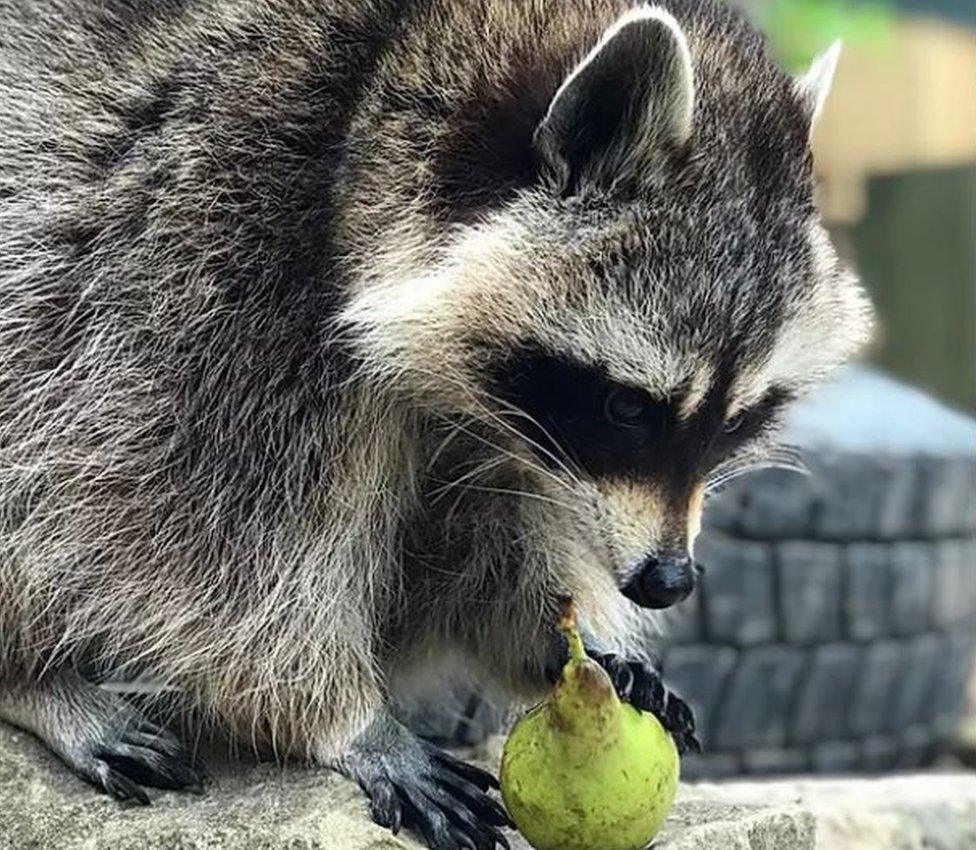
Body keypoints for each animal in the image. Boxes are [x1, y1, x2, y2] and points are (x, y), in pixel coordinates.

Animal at [0, 0, 868, 844]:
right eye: (629, 407)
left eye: (739, 420)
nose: (668, 581)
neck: (390, 71)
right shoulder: (209, 248)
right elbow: (205, 544)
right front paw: (341, 720)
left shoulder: (514, 430)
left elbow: (477, 534)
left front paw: (553, 634)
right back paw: (33, 679)